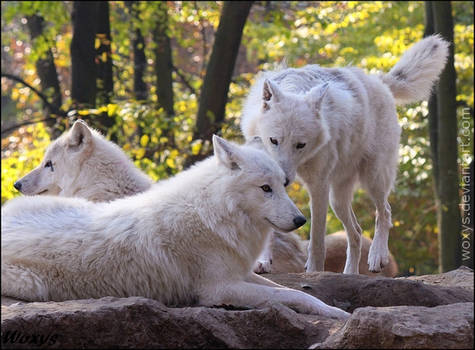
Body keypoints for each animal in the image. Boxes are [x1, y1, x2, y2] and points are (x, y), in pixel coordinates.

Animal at [0, 135, 350, 320]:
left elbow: (293, 291)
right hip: (32, 285)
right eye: (266, 188)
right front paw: (340, 315)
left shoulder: (240, 272)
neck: (213, 213)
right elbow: (289, 295)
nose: (301, 220)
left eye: (282, 185)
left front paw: (335, 311)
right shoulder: (218, 289)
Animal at [242, 34, 450, 274]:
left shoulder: (318, 186)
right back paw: (350, 273)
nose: (284, 180)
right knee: (357, 232)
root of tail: (378, 81)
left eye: (301, 145)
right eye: (273, 140)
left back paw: (377, 256)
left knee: (385, 213)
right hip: (338, 199)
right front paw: (262, 261)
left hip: (373, 179)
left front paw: (314, 272)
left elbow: (317, 240)